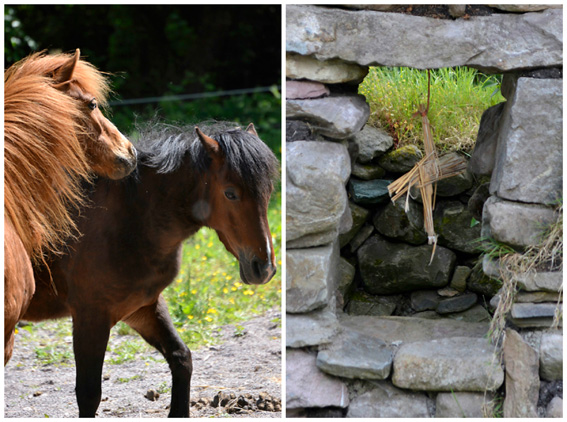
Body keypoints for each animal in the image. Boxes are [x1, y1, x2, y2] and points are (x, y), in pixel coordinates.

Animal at [25, 120, 280, 418]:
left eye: (268, 192)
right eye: (230, 193)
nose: (264, 268)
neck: (129, 220)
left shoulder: (142, 307)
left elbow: (181, 358)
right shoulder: (91, 317)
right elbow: (88, 394)